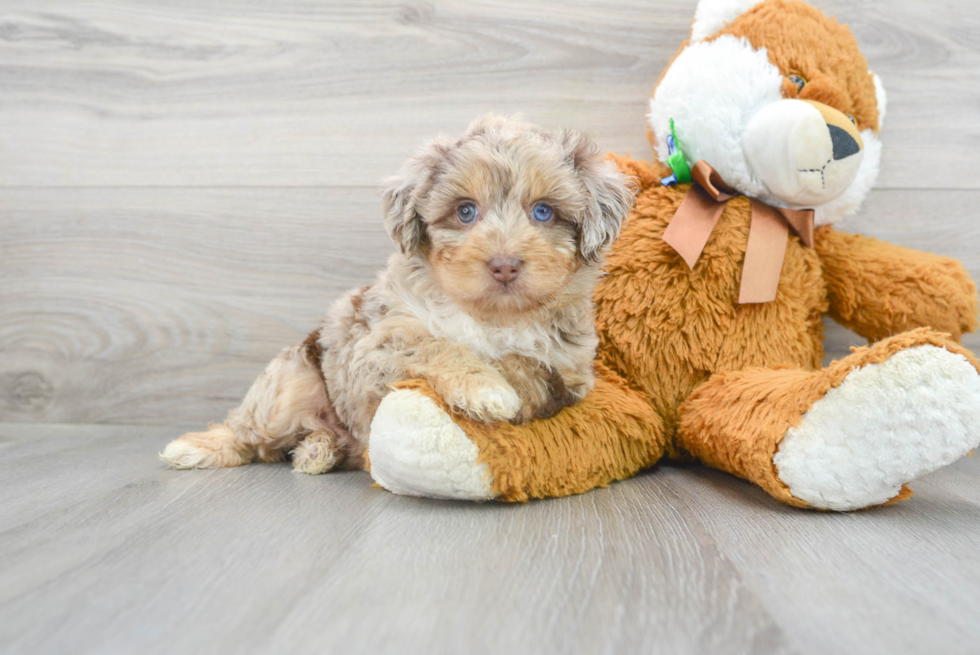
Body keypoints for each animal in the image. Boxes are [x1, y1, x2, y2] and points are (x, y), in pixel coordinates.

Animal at [159, 115, 636, 476]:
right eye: (465, 211)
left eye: (543, 212)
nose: (504, 265)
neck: (490, 316)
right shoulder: (373, 343)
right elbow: (433, 343)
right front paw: (483, 386)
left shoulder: (570, 373)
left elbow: (528, 367)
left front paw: (500, 385)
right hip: (291, 381)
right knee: (252, 434)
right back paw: (202, 447)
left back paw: (317, 450)